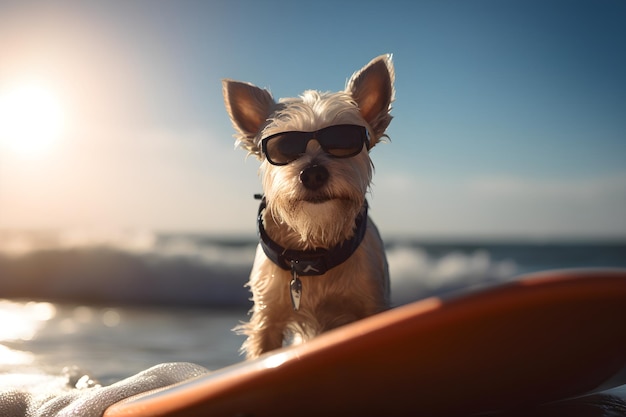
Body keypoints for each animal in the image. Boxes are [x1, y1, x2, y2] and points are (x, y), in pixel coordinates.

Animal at [222, 53, 392, 360]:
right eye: (283, 147)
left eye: (343, 141)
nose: (312, 173)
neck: (313, 248)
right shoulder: (267, 321)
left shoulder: (372, 305)